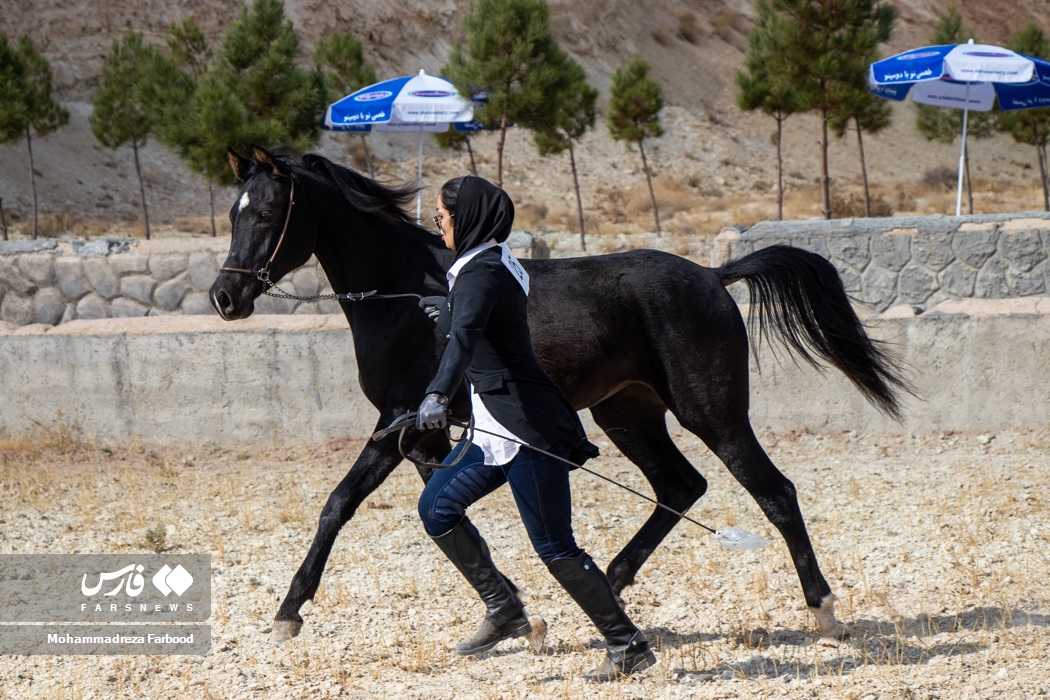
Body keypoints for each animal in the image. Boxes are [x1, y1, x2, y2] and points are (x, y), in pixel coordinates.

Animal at [211, 146, 911, 646]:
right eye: (232, 213)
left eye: (267, 214)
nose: (225, 298)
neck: (409, 295)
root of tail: (713, 277)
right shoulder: (418, 433)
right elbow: (430, 514)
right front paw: (519, 615)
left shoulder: (402, 421)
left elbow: (340, 505)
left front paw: (288, 614)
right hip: (627, 414)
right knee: (680, 486)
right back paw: (614, 584)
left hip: (712, 414)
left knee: (774, 493)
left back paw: (825, 613)